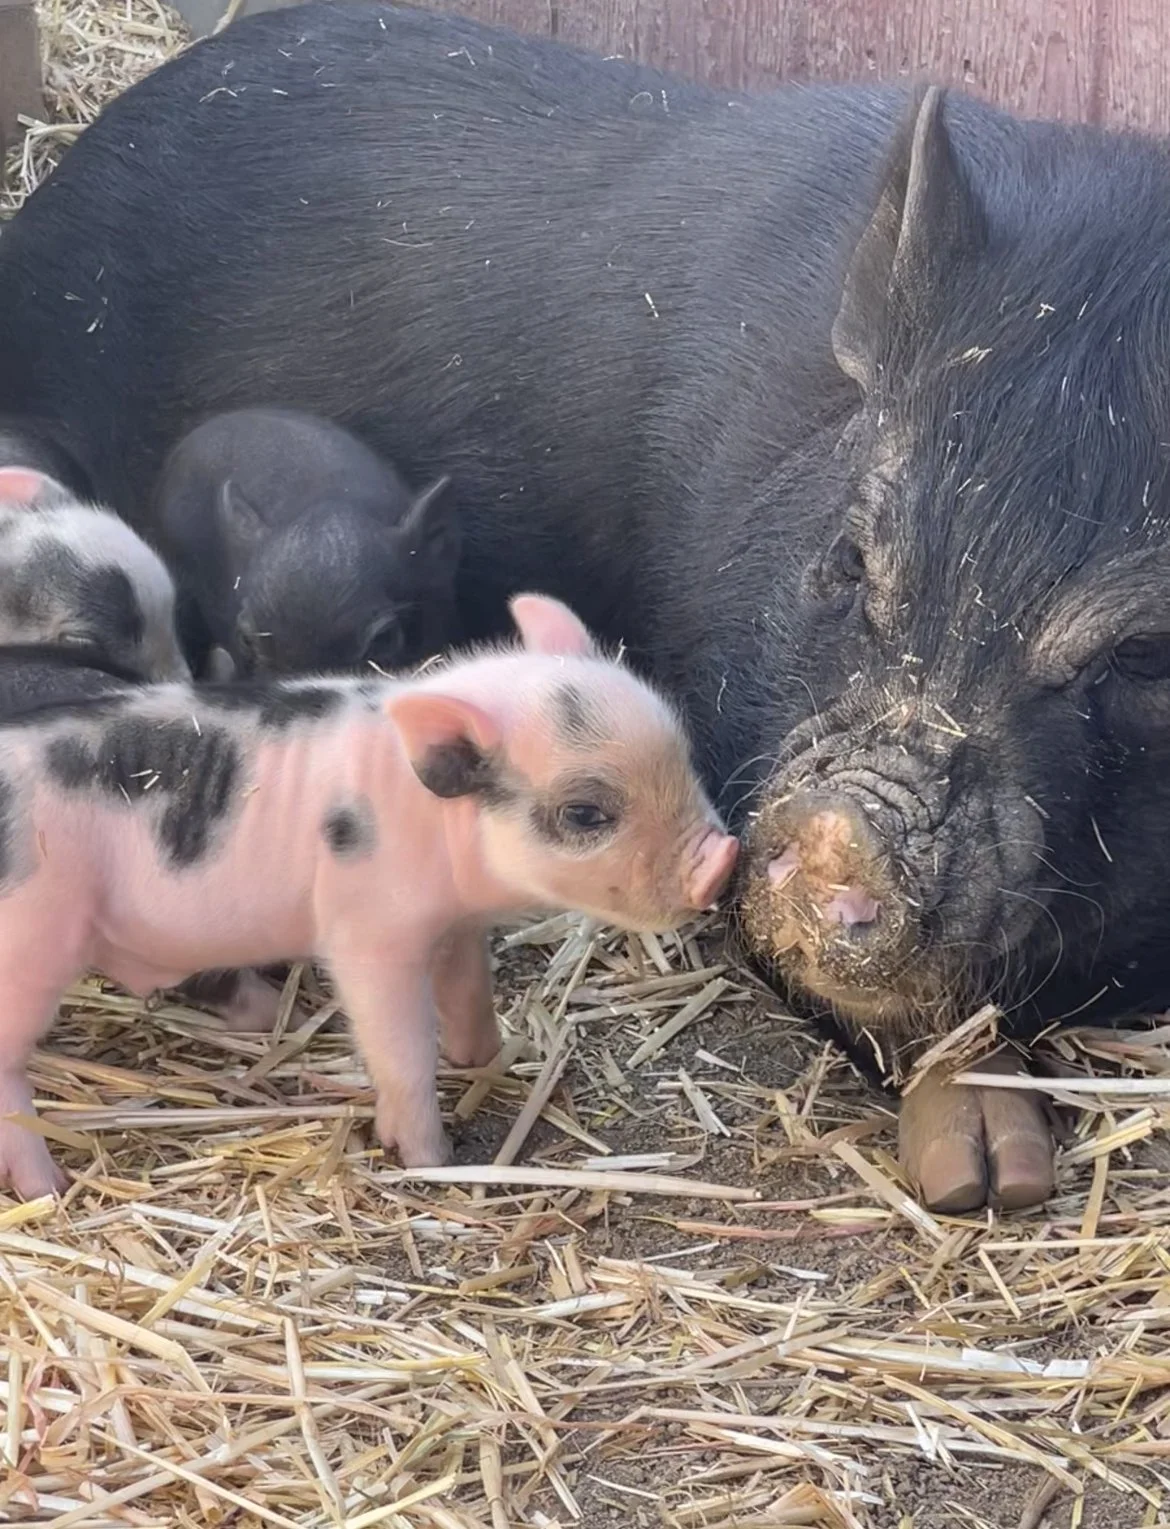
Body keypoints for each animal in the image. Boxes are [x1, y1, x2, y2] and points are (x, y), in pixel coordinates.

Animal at [0, 592, 737, 1199]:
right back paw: (48, 1190)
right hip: (30, 946)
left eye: (684, 755)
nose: (723, 860)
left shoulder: (454, 924)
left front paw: (485, 1058)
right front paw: (430, 1159)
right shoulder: (369, 933)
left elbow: (470, 991)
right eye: (586, 814)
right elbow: (402, 1047)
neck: (428, 821)